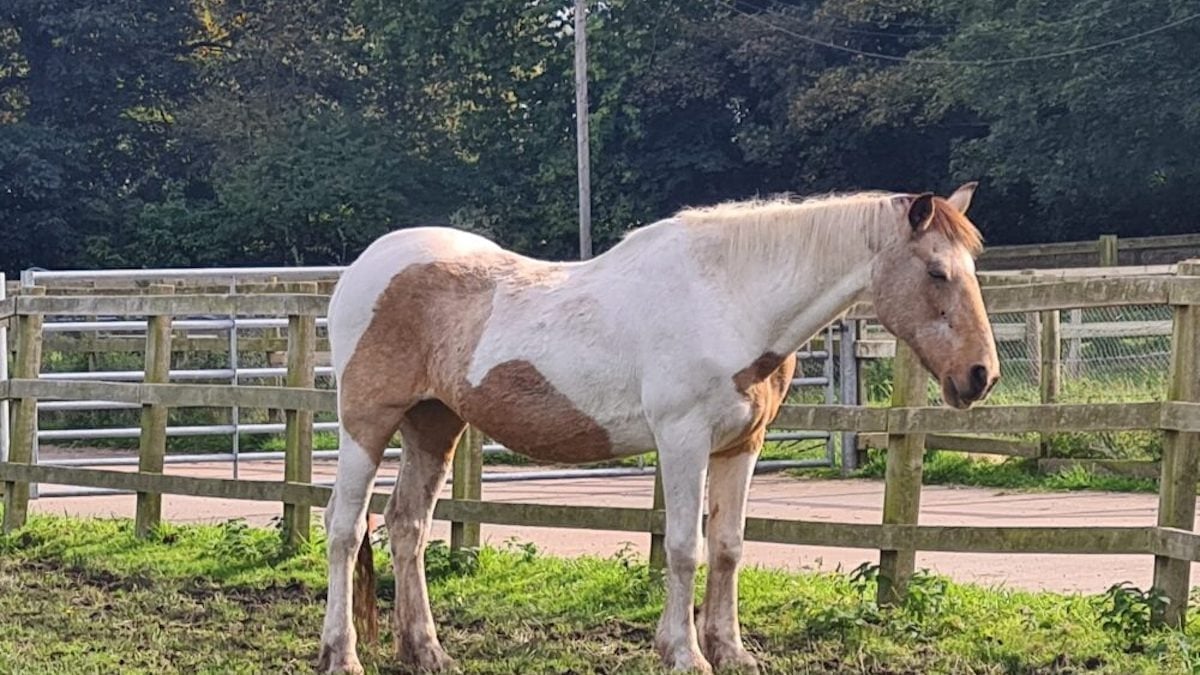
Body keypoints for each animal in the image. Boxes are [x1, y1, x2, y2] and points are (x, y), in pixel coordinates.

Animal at [314, 181, 998, 667]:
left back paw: (426, 652)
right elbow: (684, 548)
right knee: (345, 529)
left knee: (407, 526)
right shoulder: (683, 441)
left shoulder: (742, 446)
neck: (727, 299)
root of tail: (362, 271)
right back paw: (341, 655)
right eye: (937, 271)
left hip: (434, 424)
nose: (980, 375)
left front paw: (731, 652)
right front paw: (684, 654)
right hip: (366, 423)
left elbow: (728, 547)